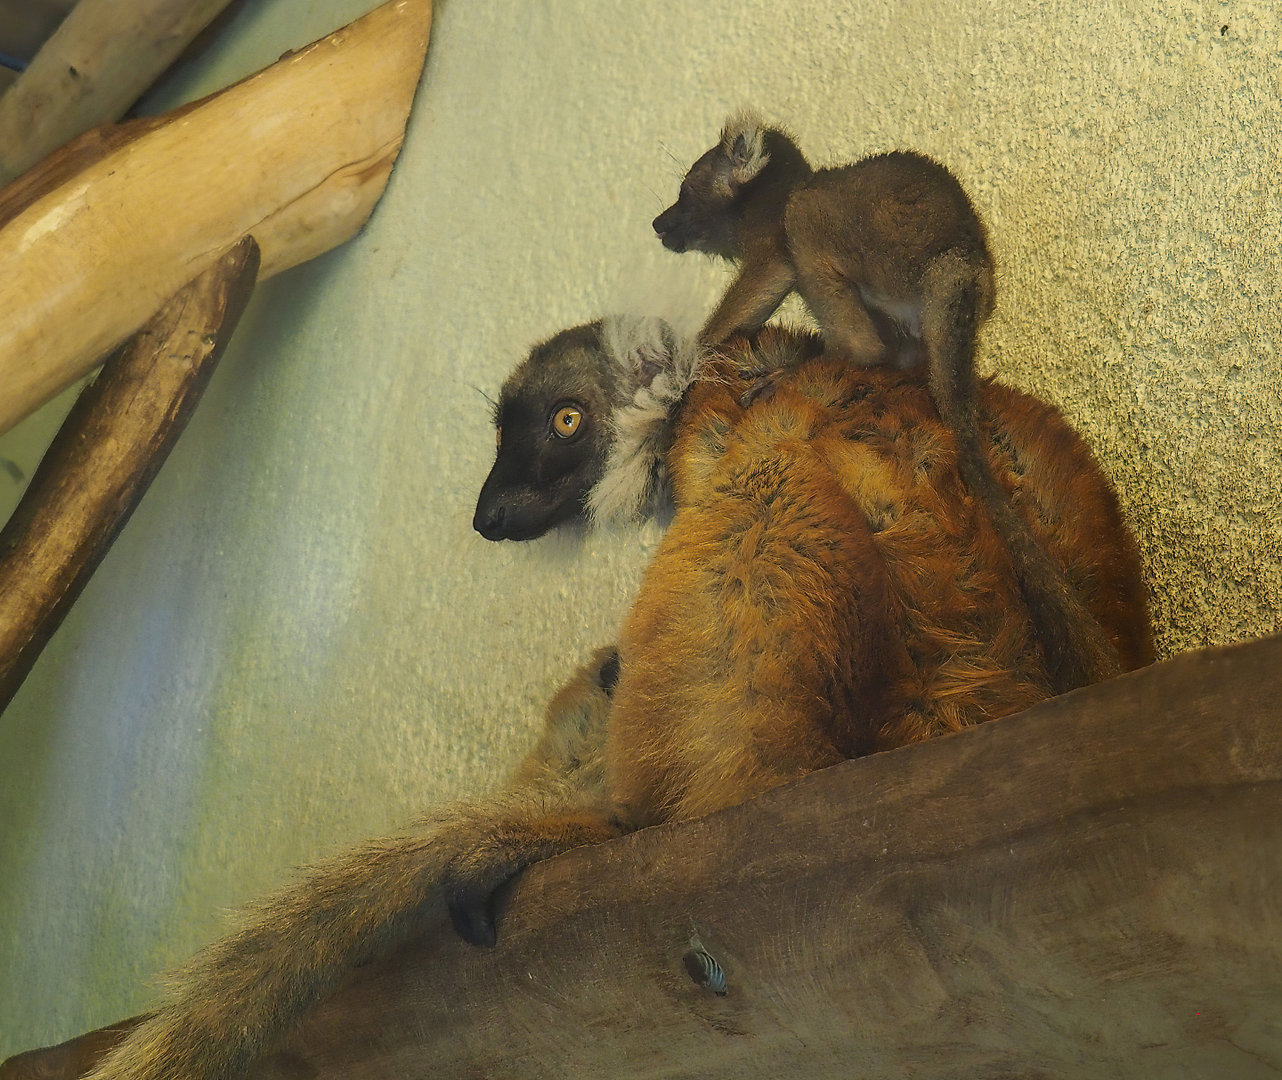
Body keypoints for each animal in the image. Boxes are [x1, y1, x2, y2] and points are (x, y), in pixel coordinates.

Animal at [651, 109, 1123, 695]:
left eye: (684, 192)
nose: (659, 223)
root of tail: (964, 265)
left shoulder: (773, 234)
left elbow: (774, 270)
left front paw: (687, 367)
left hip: (887, 248)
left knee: (815, 232)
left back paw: (826, 360)